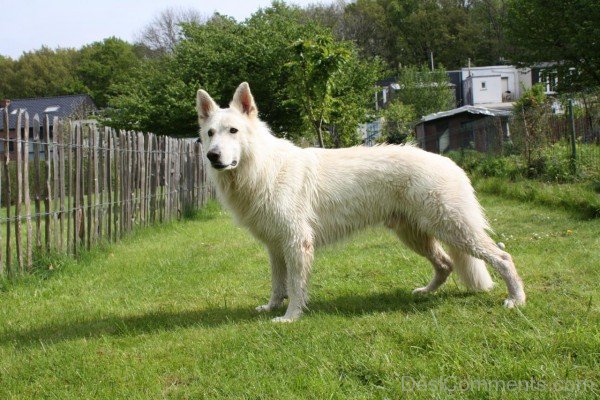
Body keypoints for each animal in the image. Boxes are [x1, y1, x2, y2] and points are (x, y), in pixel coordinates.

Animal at [197, 81, 524, 322]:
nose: (212, 156)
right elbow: (278, 285)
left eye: (233, 131)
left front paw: (290, 318)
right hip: (415, 235)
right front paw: (271, 308)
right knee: (446, 264)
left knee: (503, 257)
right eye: (210, 133)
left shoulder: (296, 243)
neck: (261, 166)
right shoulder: (276, 247)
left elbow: (296, 286)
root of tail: (450, 162)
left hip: (455, 229)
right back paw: (425, 292)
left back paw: (516, 299)